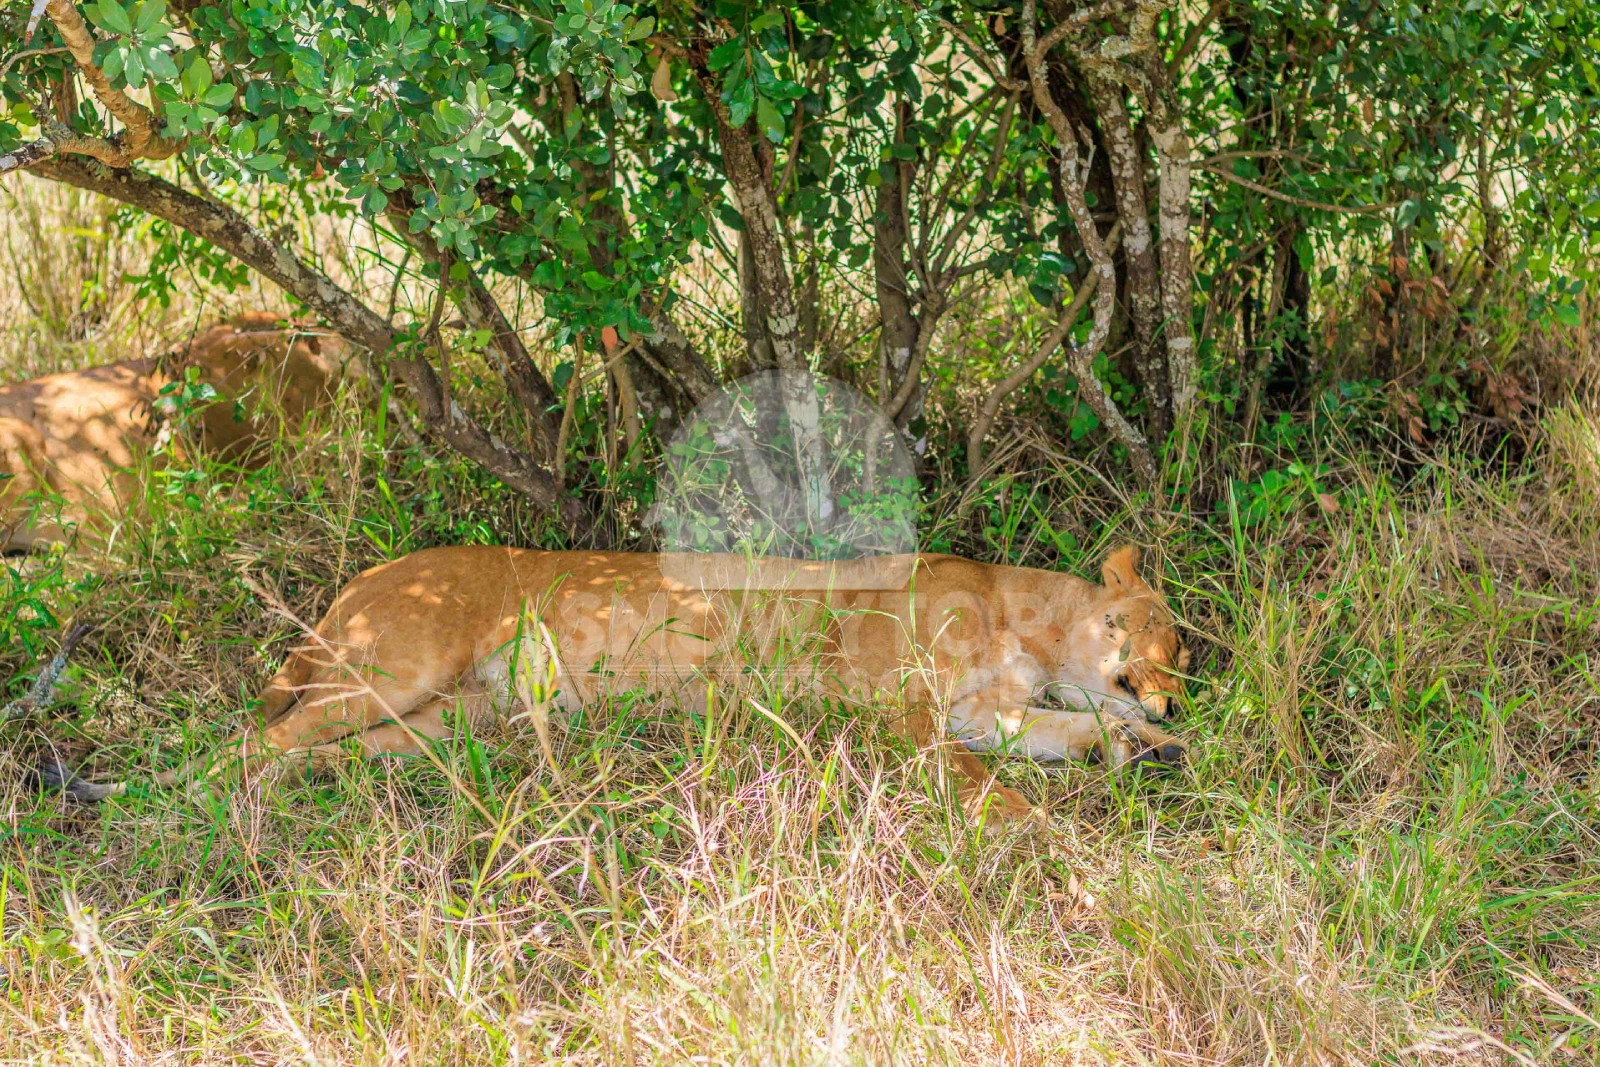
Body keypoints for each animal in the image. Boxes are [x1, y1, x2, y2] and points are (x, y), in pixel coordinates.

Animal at [109, 543, 1191, 821]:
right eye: (1160, 639)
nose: (1177, 695)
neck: (1028, 626)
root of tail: (367, 576)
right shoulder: (900, 716)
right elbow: (992, 787)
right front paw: (1042, 832)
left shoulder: (987, 714)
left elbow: (1060, 736)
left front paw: (1148, 748)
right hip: (395, 663)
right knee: (261, 735)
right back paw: (203, 804)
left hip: (449, 717)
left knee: (338, 751)